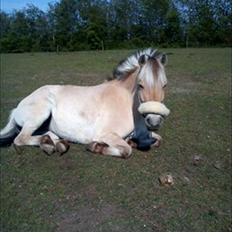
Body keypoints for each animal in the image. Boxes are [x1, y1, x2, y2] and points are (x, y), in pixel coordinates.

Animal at [0, 48, 170, 159]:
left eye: (165, 85)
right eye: (141, 85)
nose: (154, 120)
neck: (127, 103)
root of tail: (17, 108)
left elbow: (158, 140)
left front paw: (134, 141)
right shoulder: (105, 134)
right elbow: (126, 150)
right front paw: (96, 147)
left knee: (47, 135)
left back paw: (54, 144)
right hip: (40, 114)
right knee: (20, 139)